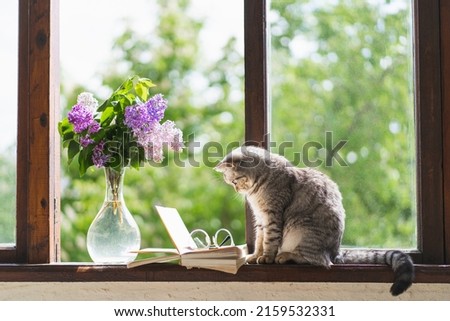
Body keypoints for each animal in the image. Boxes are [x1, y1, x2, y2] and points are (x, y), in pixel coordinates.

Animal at [214, 145, 414, 296]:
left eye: (234, 180)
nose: (236, 190)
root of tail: (336, 252)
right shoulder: (260, 218)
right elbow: (259, 241)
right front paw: (255, 256)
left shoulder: (272, 216)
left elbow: (269, 241)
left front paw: (266, 257)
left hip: (302, 230)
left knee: (317, 260)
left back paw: (286, 256)